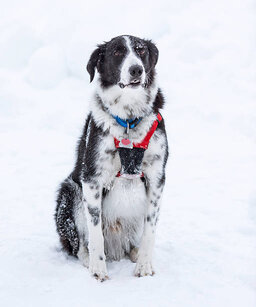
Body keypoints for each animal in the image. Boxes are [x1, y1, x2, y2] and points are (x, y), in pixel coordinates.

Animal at [54, 34, 168, 282]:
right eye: (117, 52)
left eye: (140, 50)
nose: (136, 70)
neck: (129, 121)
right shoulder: (92, 180)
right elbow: (95, 232)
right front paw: (98, 269)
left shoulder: (156, 179)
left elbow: (150, 229)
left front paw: (144, 265)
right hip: (71, 193)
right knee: (79, 245)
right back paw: (88, 259)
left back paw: (134, 252)